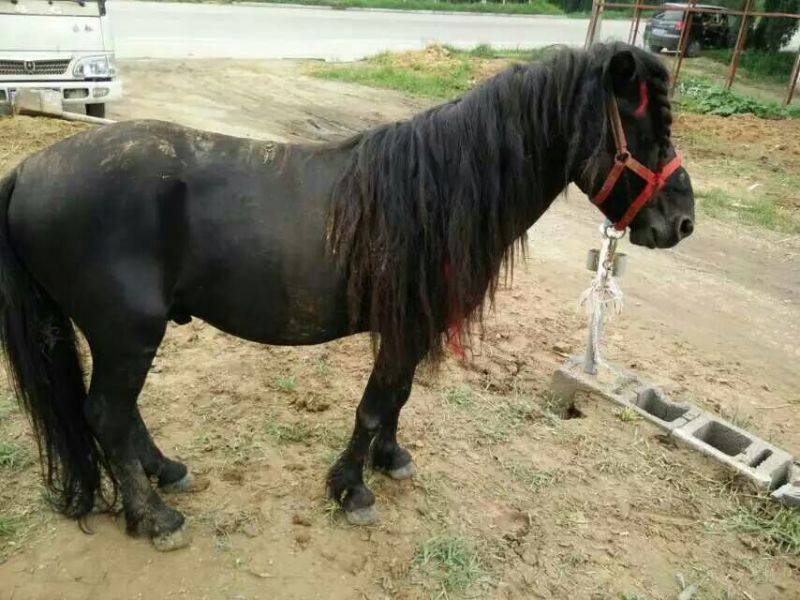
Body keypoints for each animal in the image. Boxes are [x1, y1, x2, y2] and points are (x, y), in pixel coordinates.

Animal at [0, 42, 694, 550]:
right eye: (648, 127)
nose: (683, 223)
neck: (438, 190)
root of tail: (28, 172)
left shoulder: (412, 328)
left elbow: (398, 398)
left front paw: (389, 460)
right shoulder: (404, 327)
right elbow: (374, 404)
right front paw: (351, 489)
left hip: (122, 336)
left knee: (119, 416)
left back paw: (165, 473)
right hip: (128, 334)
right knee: (107, 416)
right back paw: (155, 517)